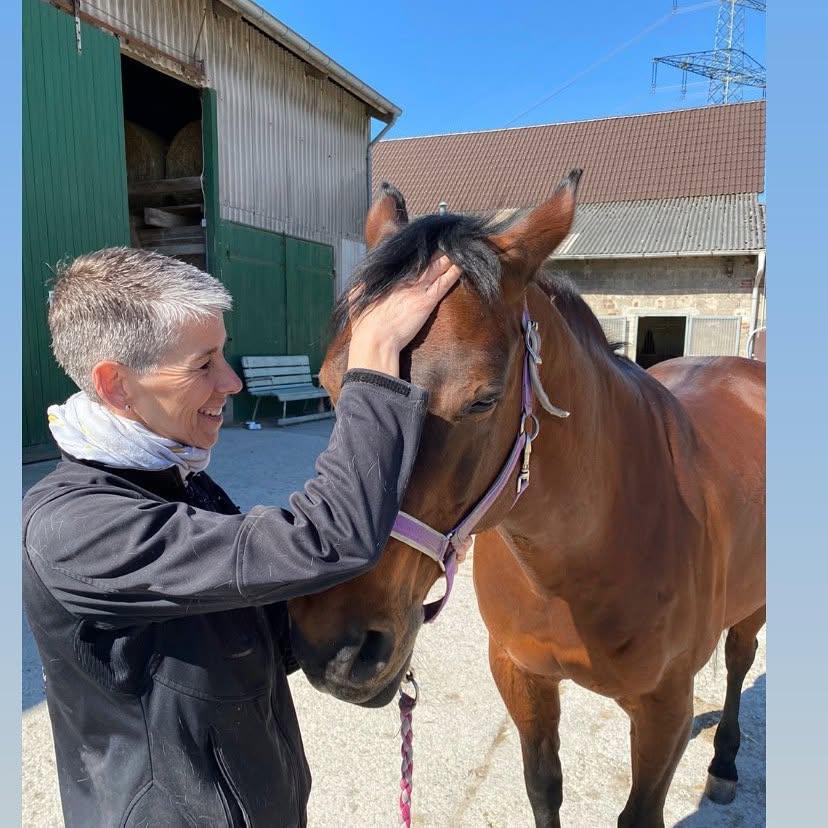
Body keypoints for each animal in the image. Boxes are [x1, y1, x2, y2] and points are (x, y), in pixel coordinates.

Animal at [288, 171, 766, 827]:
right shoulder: (521, 676)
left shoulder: (665, 706)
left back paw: (724, 763)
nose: (335, 646)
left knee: (741, 658)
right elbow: (543, 786)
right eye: (332, 386)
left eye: (484, 399)